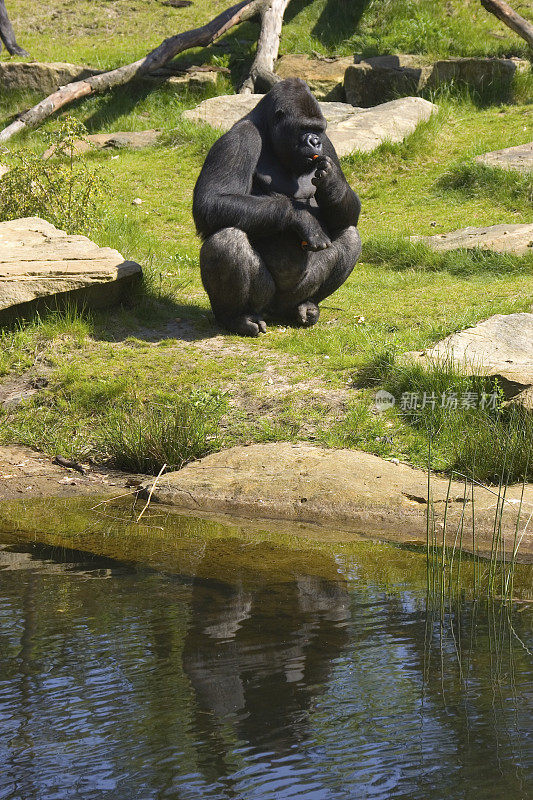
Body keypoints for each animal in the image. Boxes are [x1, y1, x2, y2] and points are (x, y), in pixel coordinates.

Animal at [192, 77, 362, 334]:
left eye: (318, 129)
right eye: (303, 128)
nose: (315, 141)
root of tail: (275, 313)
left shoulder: (329, 146)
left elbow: (348, 217)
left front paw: (332, 182)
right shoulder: (237, 140)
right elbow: (210, 202)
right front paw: (301, 218)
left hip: (295, 295)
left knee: (350, 233)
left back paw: (306, 306)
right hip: (264, 302)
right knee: (227, 239)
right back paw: (237, 317)